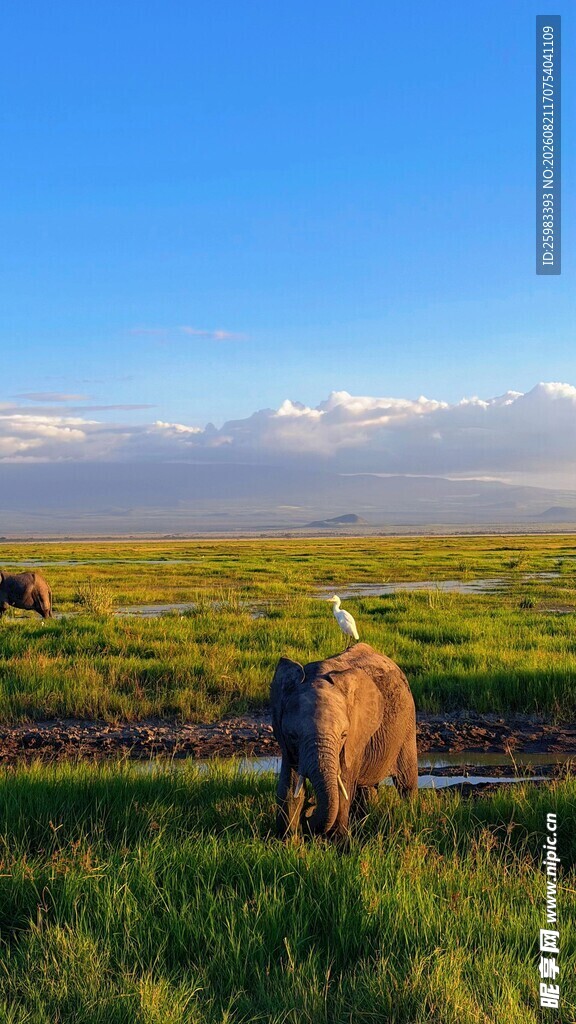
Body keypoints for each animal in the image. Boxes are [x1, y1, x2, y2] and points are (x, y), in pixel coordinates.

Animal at [270, 642, 417, 839]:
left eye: (343, 735)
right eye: (293, 736)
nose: (309, 811)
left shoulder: (353, 740)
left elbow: (342, 789)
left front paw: (337, 842)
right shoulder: (285, 742)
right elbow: (289, 787)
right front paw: (287, 840)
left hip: (408, 724)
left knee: (406, 784)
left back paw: (410, 815)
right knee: (367, 789)